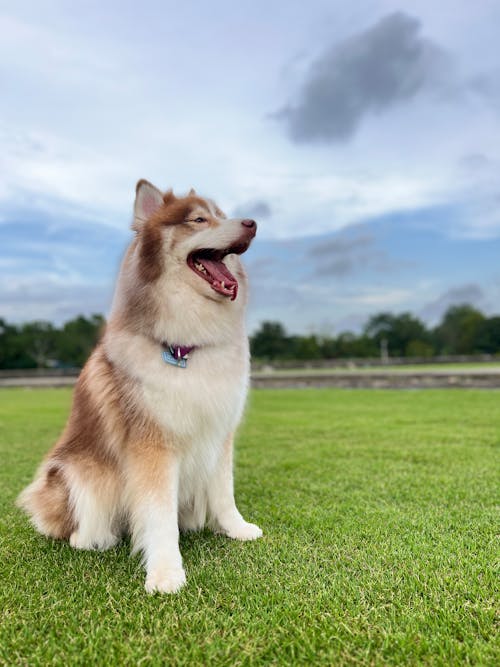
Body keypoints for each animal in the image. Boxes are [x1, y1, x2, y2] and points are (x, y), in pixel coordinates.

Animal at [17, 179, 262, 596]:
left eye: (222, 214)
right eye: (199, 220)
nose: (251, 223)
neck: (185, 347)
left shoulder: (219, 431)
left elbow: (224, 492)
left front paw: (236, 529)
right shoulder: (153, 444)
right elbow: (159, 514)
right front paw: (165, 573)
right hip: (72, 472)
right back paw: (90, 538)